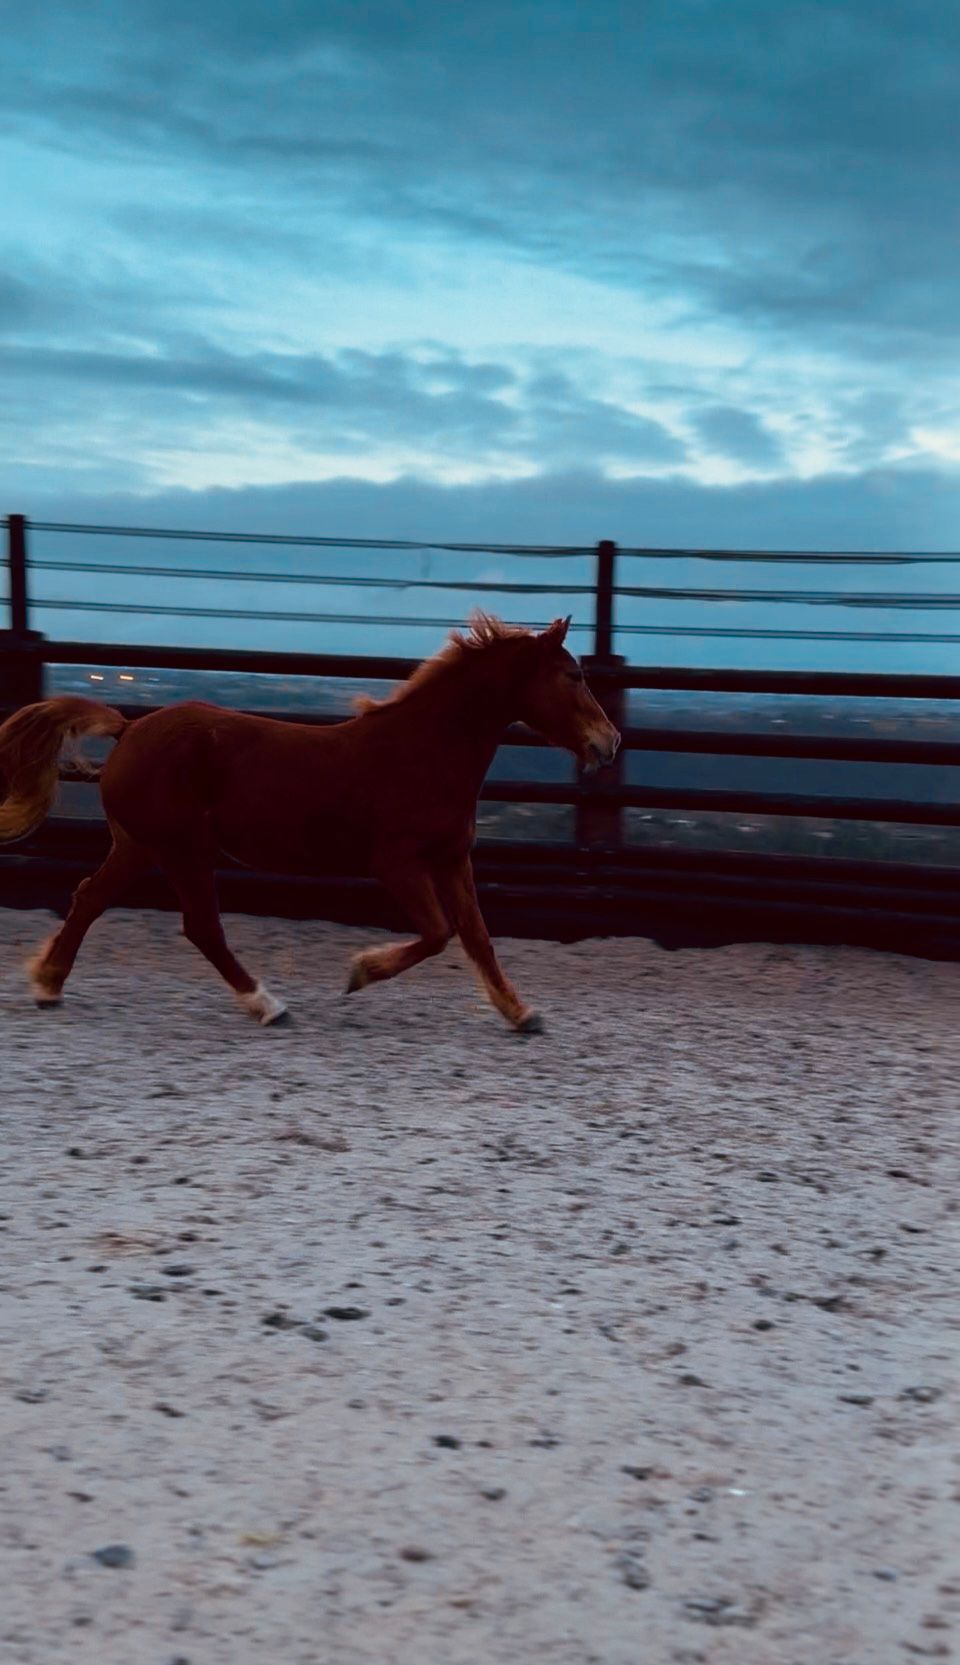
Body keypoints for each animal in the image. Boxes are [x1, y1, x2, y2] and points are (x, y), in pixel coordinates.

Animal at [0, 614, 620, 1031]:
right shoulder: (396, 864)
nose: (609, 742)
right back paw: (267, 1005)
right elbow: (438, 933)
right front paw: (360, 973)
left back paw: (49, 986)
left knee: (89, 898)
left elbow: (477, 937)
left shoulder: (451, 859)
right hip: (181, 849)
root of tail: (129, 729)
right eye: (571, 675)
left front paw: (521, 1013)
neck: (425, 750)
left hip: (141, 846)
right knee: (200, 926)